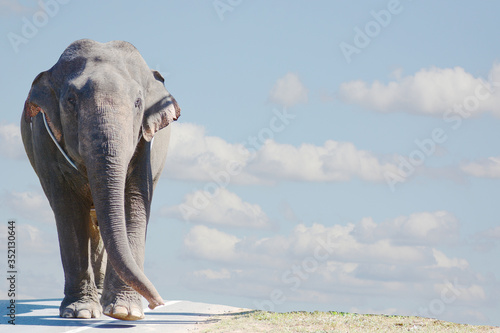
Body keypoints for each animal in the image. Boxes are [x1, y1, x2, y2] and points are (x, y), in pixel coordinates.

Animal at [22, 39, 182, 320]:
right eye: (71, 100)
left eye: (138, 102)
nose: (157, 304)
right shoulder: (44, 136)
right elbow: (68, 210)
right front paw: (81, 313)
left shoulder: (145, 146)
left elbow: (133, 203)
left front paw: (125, 312)